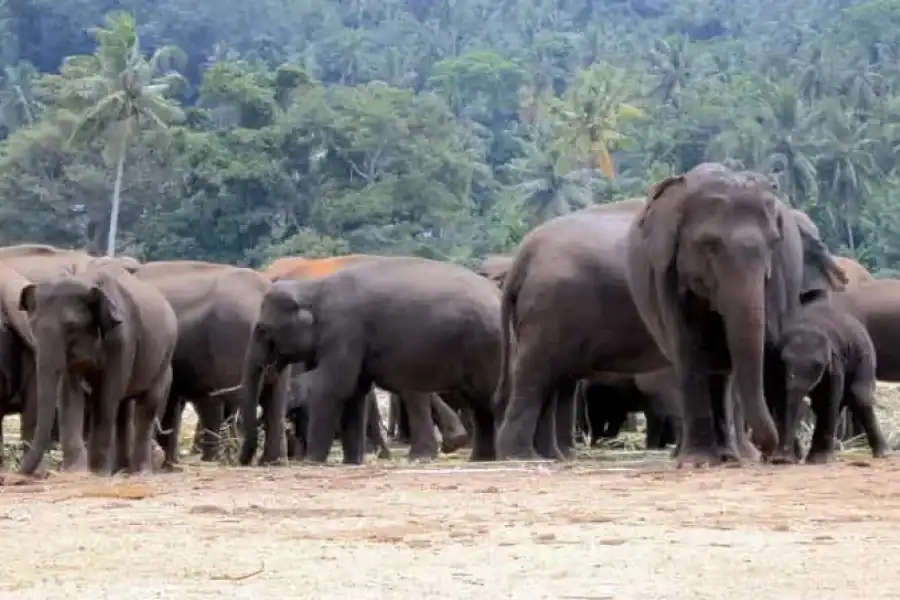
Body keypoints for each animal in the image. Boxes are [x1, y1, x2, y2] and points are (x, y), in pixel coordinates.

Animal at [18, 263, 178, 475]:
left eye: (71, 326)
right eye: (32, 326)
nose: (19, 472)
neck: (86, 280)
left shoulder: (122, 339)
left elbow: (107, 394)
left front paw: (97, 472)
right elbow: (69, 394)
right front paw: (75, 472)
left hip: (164, 359)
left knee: (146, 405)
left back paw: (140, 472)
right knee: (123, 409)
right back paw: (120, 470)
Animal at [239, 256, 502, 465]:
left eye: (262, 329)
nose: (244, 461)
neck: (314, 287)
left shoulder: (344, 330)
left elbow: (334, 387)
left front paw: (313, 461)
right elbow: (355, 392)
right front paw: (352, 462)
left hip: (485, 345)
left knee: (489, 395)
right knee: (478, 402)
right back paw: (479, 458)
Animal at [625, 163, 847, 467]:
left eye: (773, 243)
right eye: (709, 246)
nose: (768, 450)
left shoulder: (776, 275)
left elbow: (767, 346)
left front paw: (781, 457)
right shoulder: (667, 274)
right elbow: (688, 347)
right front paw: (695, 461)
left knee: (723, 372)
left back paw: (731, 455)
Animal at [776, 298, 887, 464]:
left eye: (818, 365)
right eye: (784, 361)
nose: (783, 460)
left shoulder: (835, 364)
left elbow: (828, 398)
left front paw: (818, 460)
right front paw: (783, 458)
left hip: (865, 355)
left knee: (858, 396)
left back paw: (882, 453)